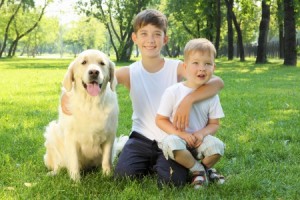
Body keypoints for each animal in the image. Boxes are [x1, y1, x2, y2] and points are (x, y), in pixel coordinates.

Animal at [43, 48, 118, 181]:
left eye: (102, 63)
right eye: (84, 62)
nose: (94, 72)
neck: (91, 103)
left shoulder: (110, 135)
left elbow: (106, 159)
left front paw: (107, 176)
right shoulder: (71, 138)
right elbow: (73, 162)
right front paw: (75, 181)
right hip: (51, 133)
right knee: (58, 164)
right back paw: (53, 173)